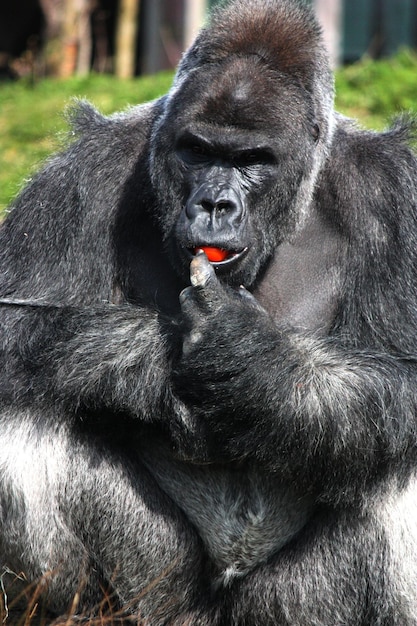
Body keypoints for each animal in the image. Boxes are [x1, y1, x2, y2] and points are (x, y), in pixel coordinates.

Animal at [0, 0, 416, 620]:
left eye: (252, 160)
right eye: (197, 151)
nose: (215, 204)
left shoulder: (396, 196)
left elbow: (405, 375)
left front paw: (251, 364)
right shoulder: (78, 177)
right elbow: (13, 324)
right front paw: (157, 371)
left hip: (282, 608)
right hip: (159, 596)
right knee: (25, 401)